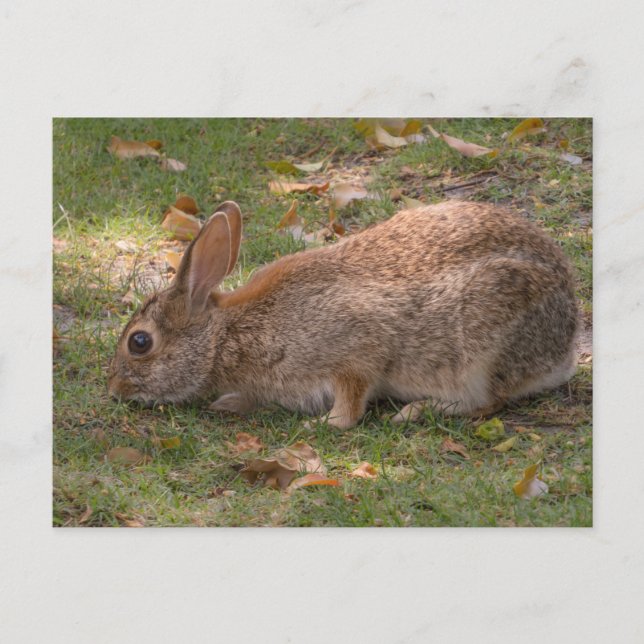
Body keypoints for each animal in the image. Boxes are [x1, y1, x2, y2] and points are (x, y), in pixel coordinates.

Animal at [108, 200, 579, 429]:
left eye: (139, 342)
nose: (114, 390)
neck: (225, 337)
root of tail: (567, 347)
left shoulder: (356, 347)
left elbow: (352, 402)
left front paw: (323, 425)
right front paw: (229, 404)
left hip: (487, 336)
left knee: (486, 401)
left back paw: (415, 412)